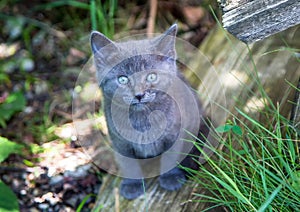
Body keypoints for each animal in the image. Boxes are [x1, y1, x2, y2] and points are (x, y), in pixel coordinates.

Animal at [90, 24, 207, 200]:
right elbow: (128, 163)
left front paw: (171, 178)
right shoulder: (120, 143)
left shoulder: (174, 134)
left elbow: (171, 157)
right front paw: (132, 185)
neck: (143, 118)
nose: (139, 95)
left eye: (151, 76)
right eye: (122, 79)